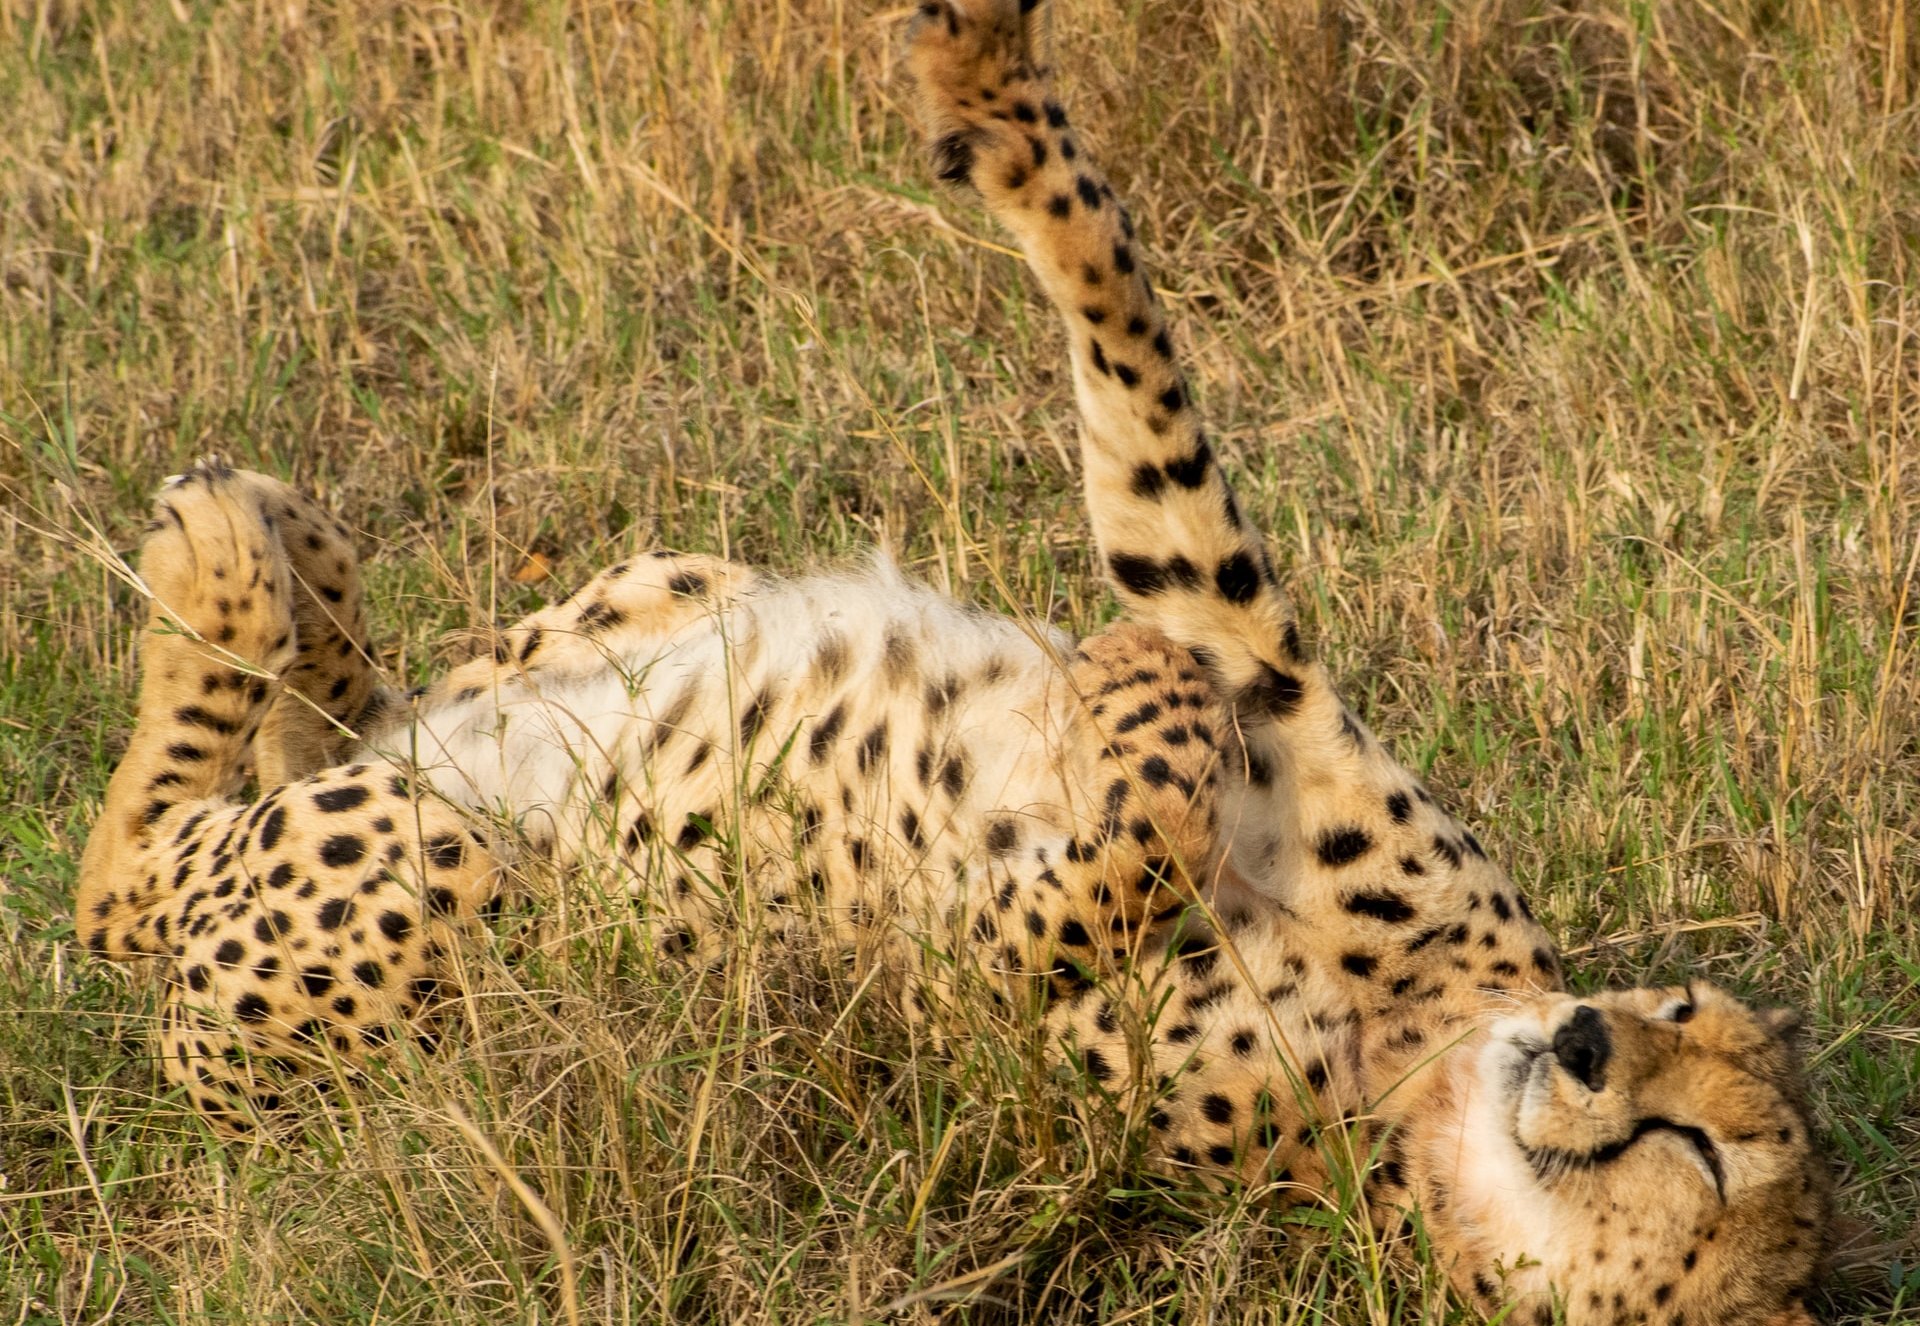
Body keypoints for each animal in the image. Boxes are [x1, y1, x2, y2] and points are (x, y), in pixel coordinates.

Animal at [71, 5, 1827, 1320]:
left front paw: (1132, 709)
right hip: (638, 598)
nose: (1585, 1039)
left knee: (133, 868)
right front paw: (988, 78)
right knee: (378, 706)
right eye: (1678, 1004)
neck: (1424, 1068)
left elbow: (1131, 827)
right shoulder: (1248, 651)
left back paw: (217, 562)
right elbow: (1129, 340)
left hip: (433, 878)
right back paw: (293, 553)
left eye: (1706, 1156)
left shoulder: (976, 994)